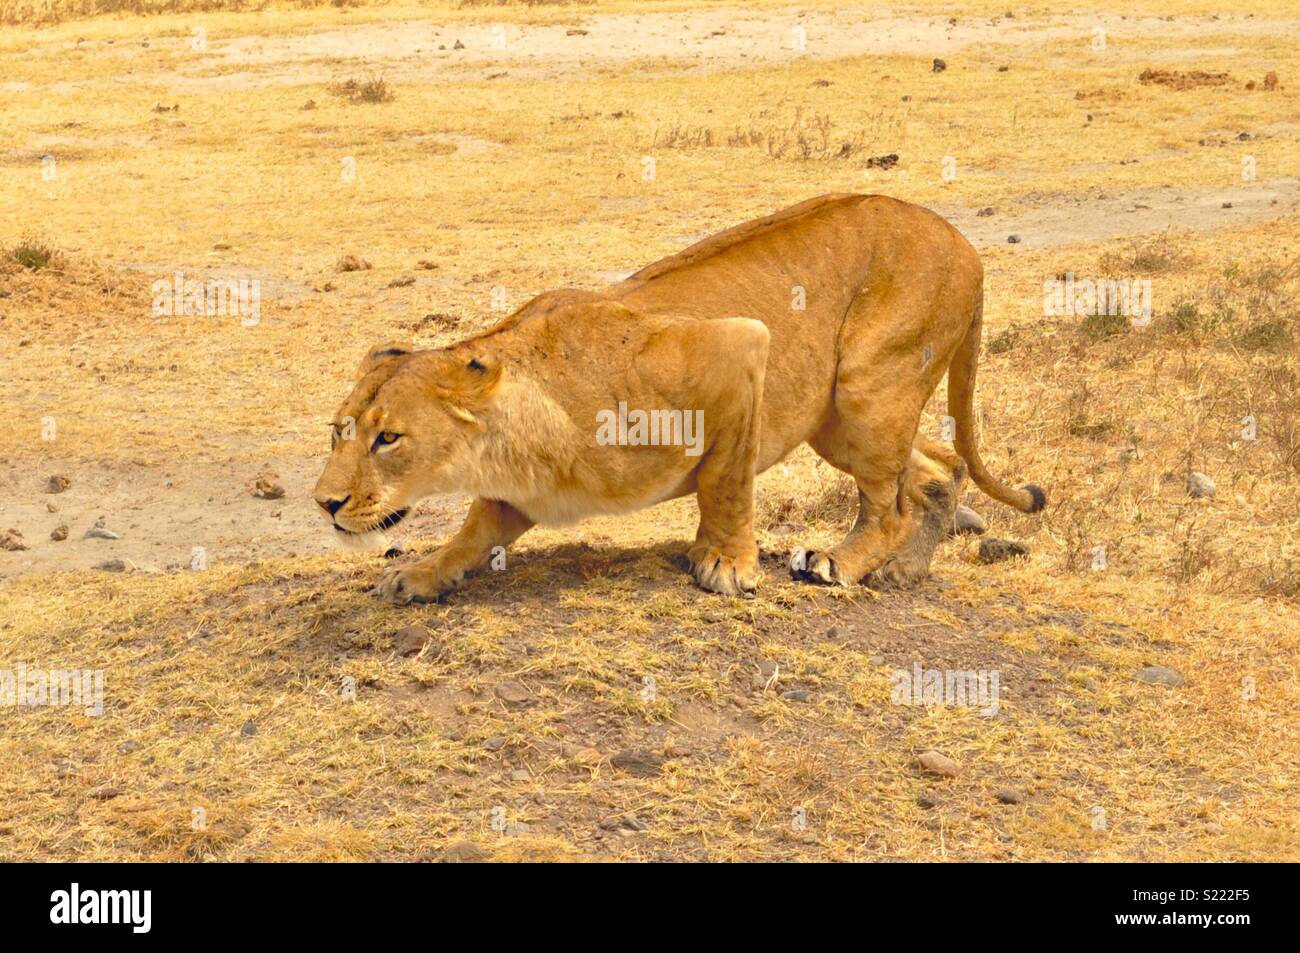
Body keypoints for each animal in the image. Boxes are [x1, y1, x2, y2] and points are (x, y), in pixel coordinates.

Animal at [312, 193, 1045, 603]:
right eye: (338, 431)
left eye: (388, 437)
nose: (325, 503)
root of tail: (962, 242)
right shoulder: (518, 490)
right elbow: (474, 529)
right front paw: (423, 572)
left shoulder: (736, 346)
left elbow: (725, 480)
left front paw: (724, 563)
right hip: (836, 420)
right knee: (939, 471)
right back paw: (901, 573)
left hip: (867, 385)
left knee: (889, 503)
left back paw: (841, 563)